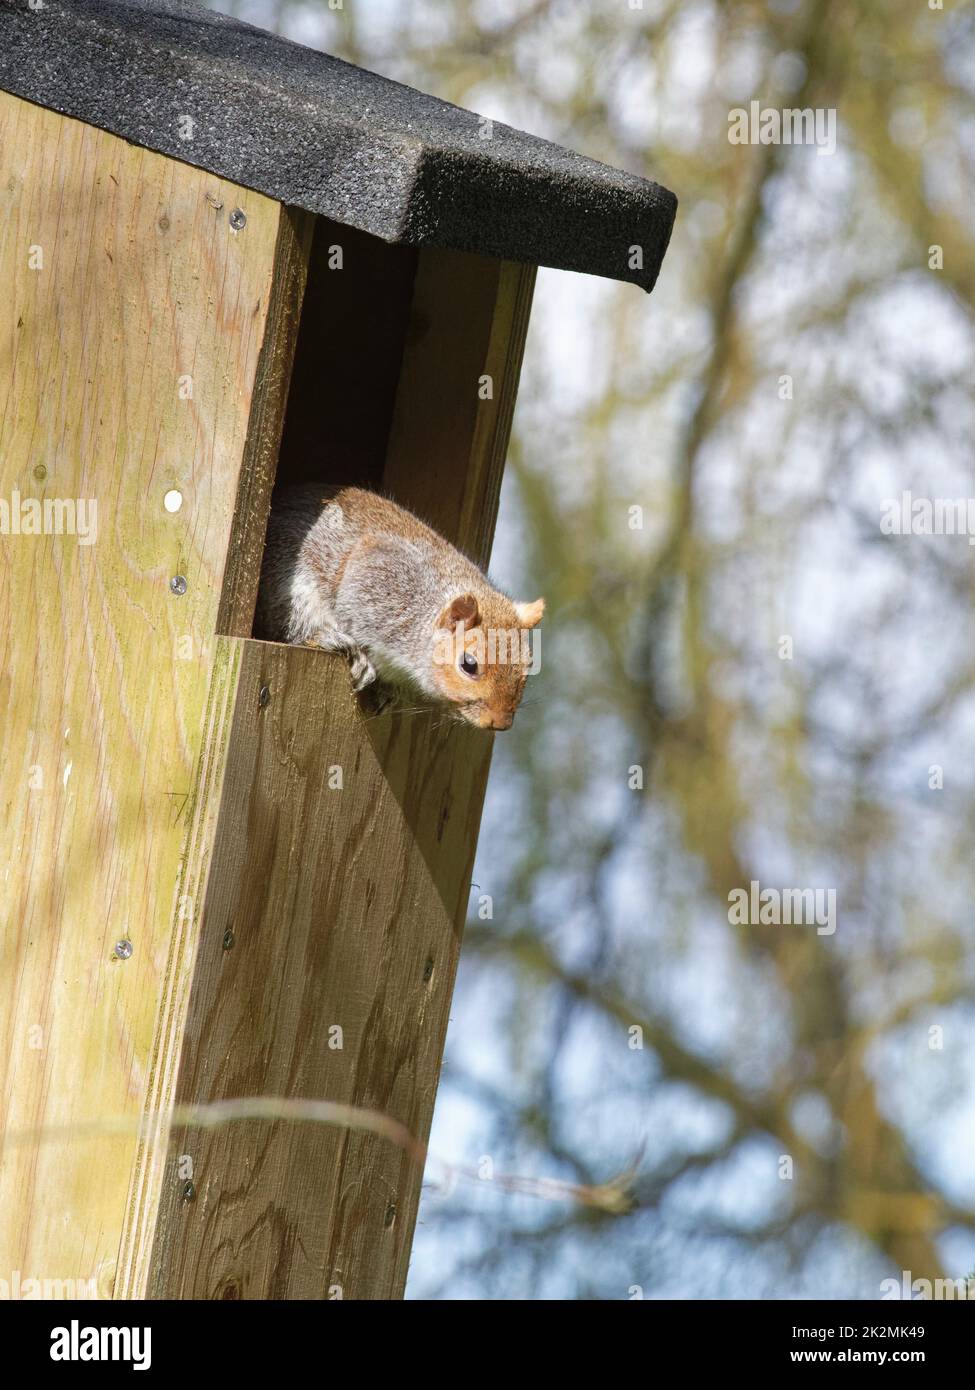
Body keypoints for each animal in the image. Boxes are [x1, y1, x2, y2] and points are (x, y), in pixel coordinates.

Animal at [254, 483, 545, 733]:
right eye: (468, 665)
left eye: (528, 664)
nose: (500, 722)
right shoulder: (379, 580)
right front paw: (364, 661)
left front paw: (386, 691)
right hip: (288, 586)